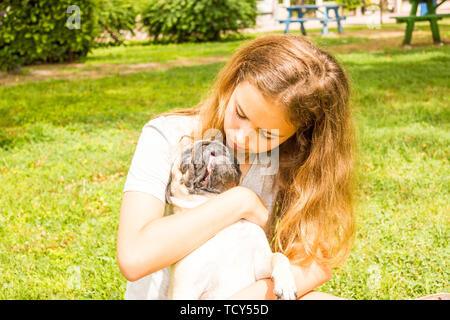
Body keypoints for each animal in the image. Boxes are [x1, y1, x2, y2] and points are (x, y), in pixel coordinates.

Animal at [163, 138, 298, 300]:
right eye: (187, 156)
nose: (209, 143)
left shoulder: (261, 265)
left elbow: (279, 257)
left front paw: (286, 283)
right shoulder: (186, 288)